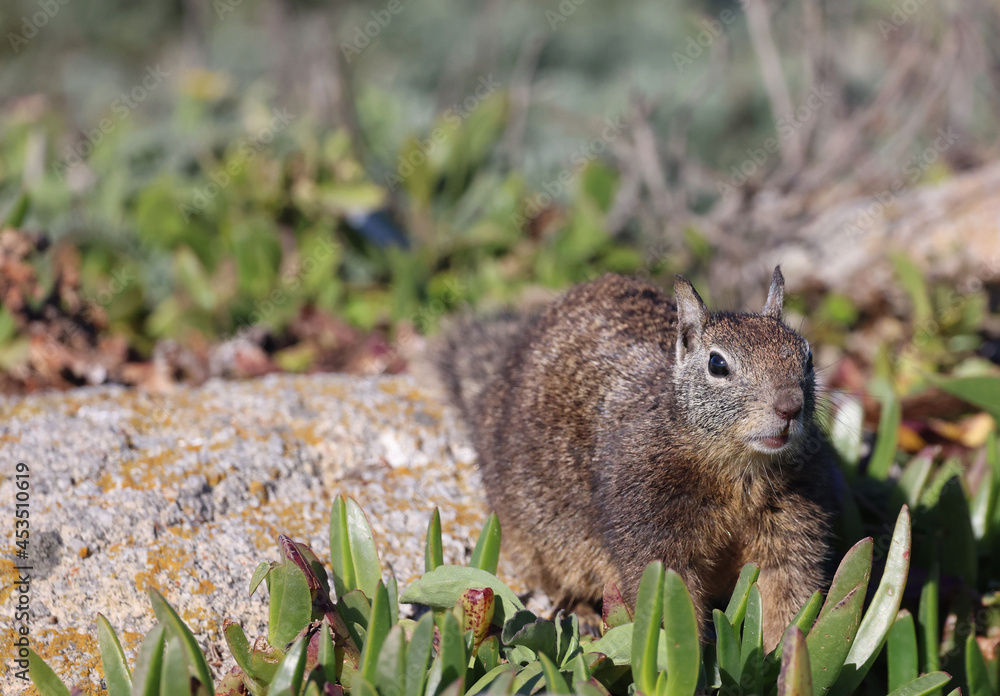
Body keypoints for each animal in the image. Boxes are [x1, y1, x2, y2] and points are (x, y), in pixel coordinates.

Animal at [434, 268, 837, 650]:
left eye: (807, 356)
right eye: (718, 365)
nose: (789, 406)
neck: (739, 475)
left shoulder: (793, 529)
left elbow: (789, 595)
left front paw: (785, 653)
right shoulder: (651, 528)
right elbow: (667, 598)